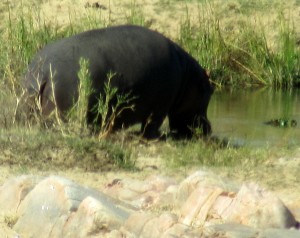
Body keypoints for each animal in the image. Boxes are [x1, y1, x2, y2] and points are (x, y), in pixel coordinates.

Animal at [22, 24, 212, 139]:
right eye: (207, 93)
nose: (209, 129)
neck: (188, 75)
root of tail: (42, 71)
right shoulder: (161, 106)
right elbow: (151, 125)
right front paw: (155, 138)